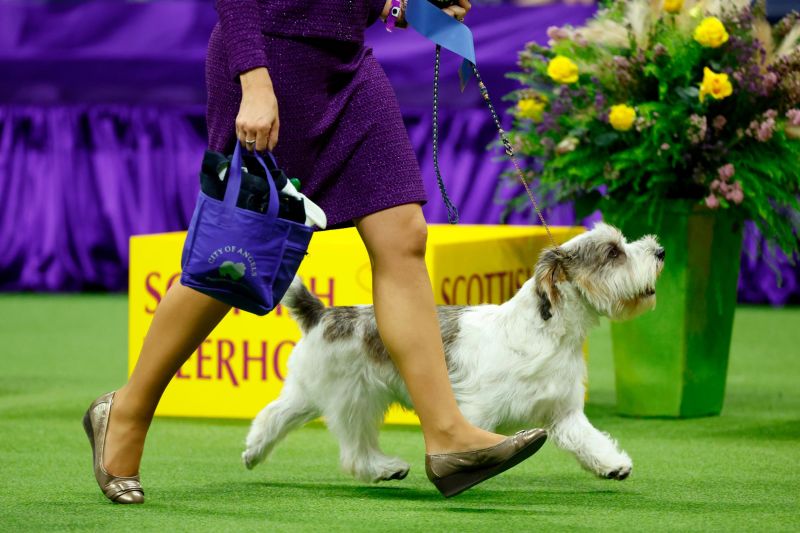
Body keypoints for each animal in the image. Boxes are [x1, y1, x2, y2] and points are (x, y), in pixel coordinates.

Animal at [242, 220, 664, 482]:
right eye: (613, 253)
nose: (659, 250)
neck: (547, 333)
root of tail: (324, 313)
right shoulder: (474, 411)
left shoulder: (564, 413)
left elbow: (589, 440)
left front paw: (613, 465)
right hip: (353, 400)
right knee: (352, 450)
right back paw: (381, 467)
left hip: (312, 393)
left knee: (274, 416)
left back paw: (254, 453)